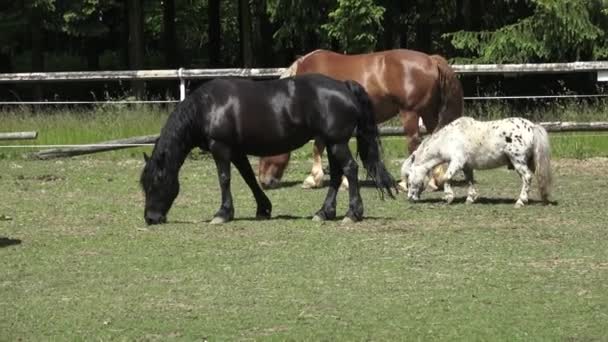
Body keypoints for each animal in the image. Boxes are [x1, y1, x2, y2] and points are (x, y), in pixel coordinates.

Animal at [142, 73, 400, 226]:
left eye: (156, 182)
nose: (150, 218)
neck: (207, 107)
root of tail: (344, 85)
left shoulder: (221, 147)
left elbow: (224, 179)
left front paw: (222, 213)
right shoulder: (237, 150)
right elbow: (248, 178)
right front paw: (263, 208)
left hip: (337, 142)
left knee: (350, 169)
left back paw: (352, 214)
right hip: (331, 143)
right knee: (337, 175)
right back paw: (324, 213)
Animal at [258, 48, 464, 190]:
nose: (264, 181)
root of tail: (431, 59)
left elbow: (318, 147)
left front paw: (313, 179)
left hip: (410, 112)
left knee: (414, 143)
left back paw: (406, 183)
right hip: (428, 112)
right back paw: (435, 180)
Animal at [402, 116, 552, 207]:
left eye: (409, 177)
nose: (410, 198)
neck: (448, 139)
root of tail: (532, 126)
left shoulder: (456, 162)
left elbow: (446, 178)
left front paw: (449, 197)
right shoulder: (466, 166)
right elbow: (469, 181)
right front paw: (470, 198)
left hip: (518, 161)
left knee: (527, 178)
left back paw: (520, 201)